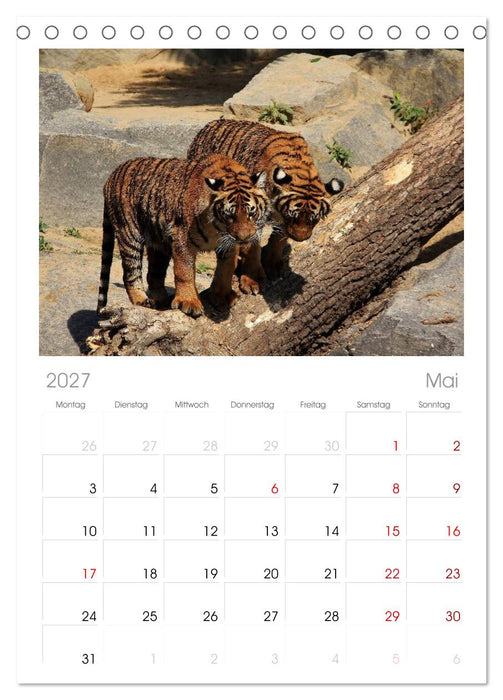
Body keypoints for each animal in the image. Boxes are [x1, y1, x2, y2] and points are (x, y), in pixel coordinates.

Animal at [97, 154, 268, 318]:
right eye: (229, 215)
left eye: (251, 213)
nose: (244, 238)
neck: (218, 229)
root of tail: (112, 175)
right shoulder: (182, 238)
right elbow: (184, 271)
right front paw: (189, 302)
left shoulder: (228, 244)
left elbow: (226, 268)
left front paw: (222, 296)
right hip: (129, 234)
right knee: (130, 274)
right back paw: (142, 301)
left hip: (158, 244)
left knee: (154, 275)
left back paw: (162, 301)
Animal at [187, 119, 345, 292]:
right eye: (292, 216)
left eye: (314, 219)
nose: (300, 238)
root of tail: (210, 124)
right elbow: (252, 246)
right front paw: (253, 280)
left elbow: (279, 240)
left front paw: (273, 265)